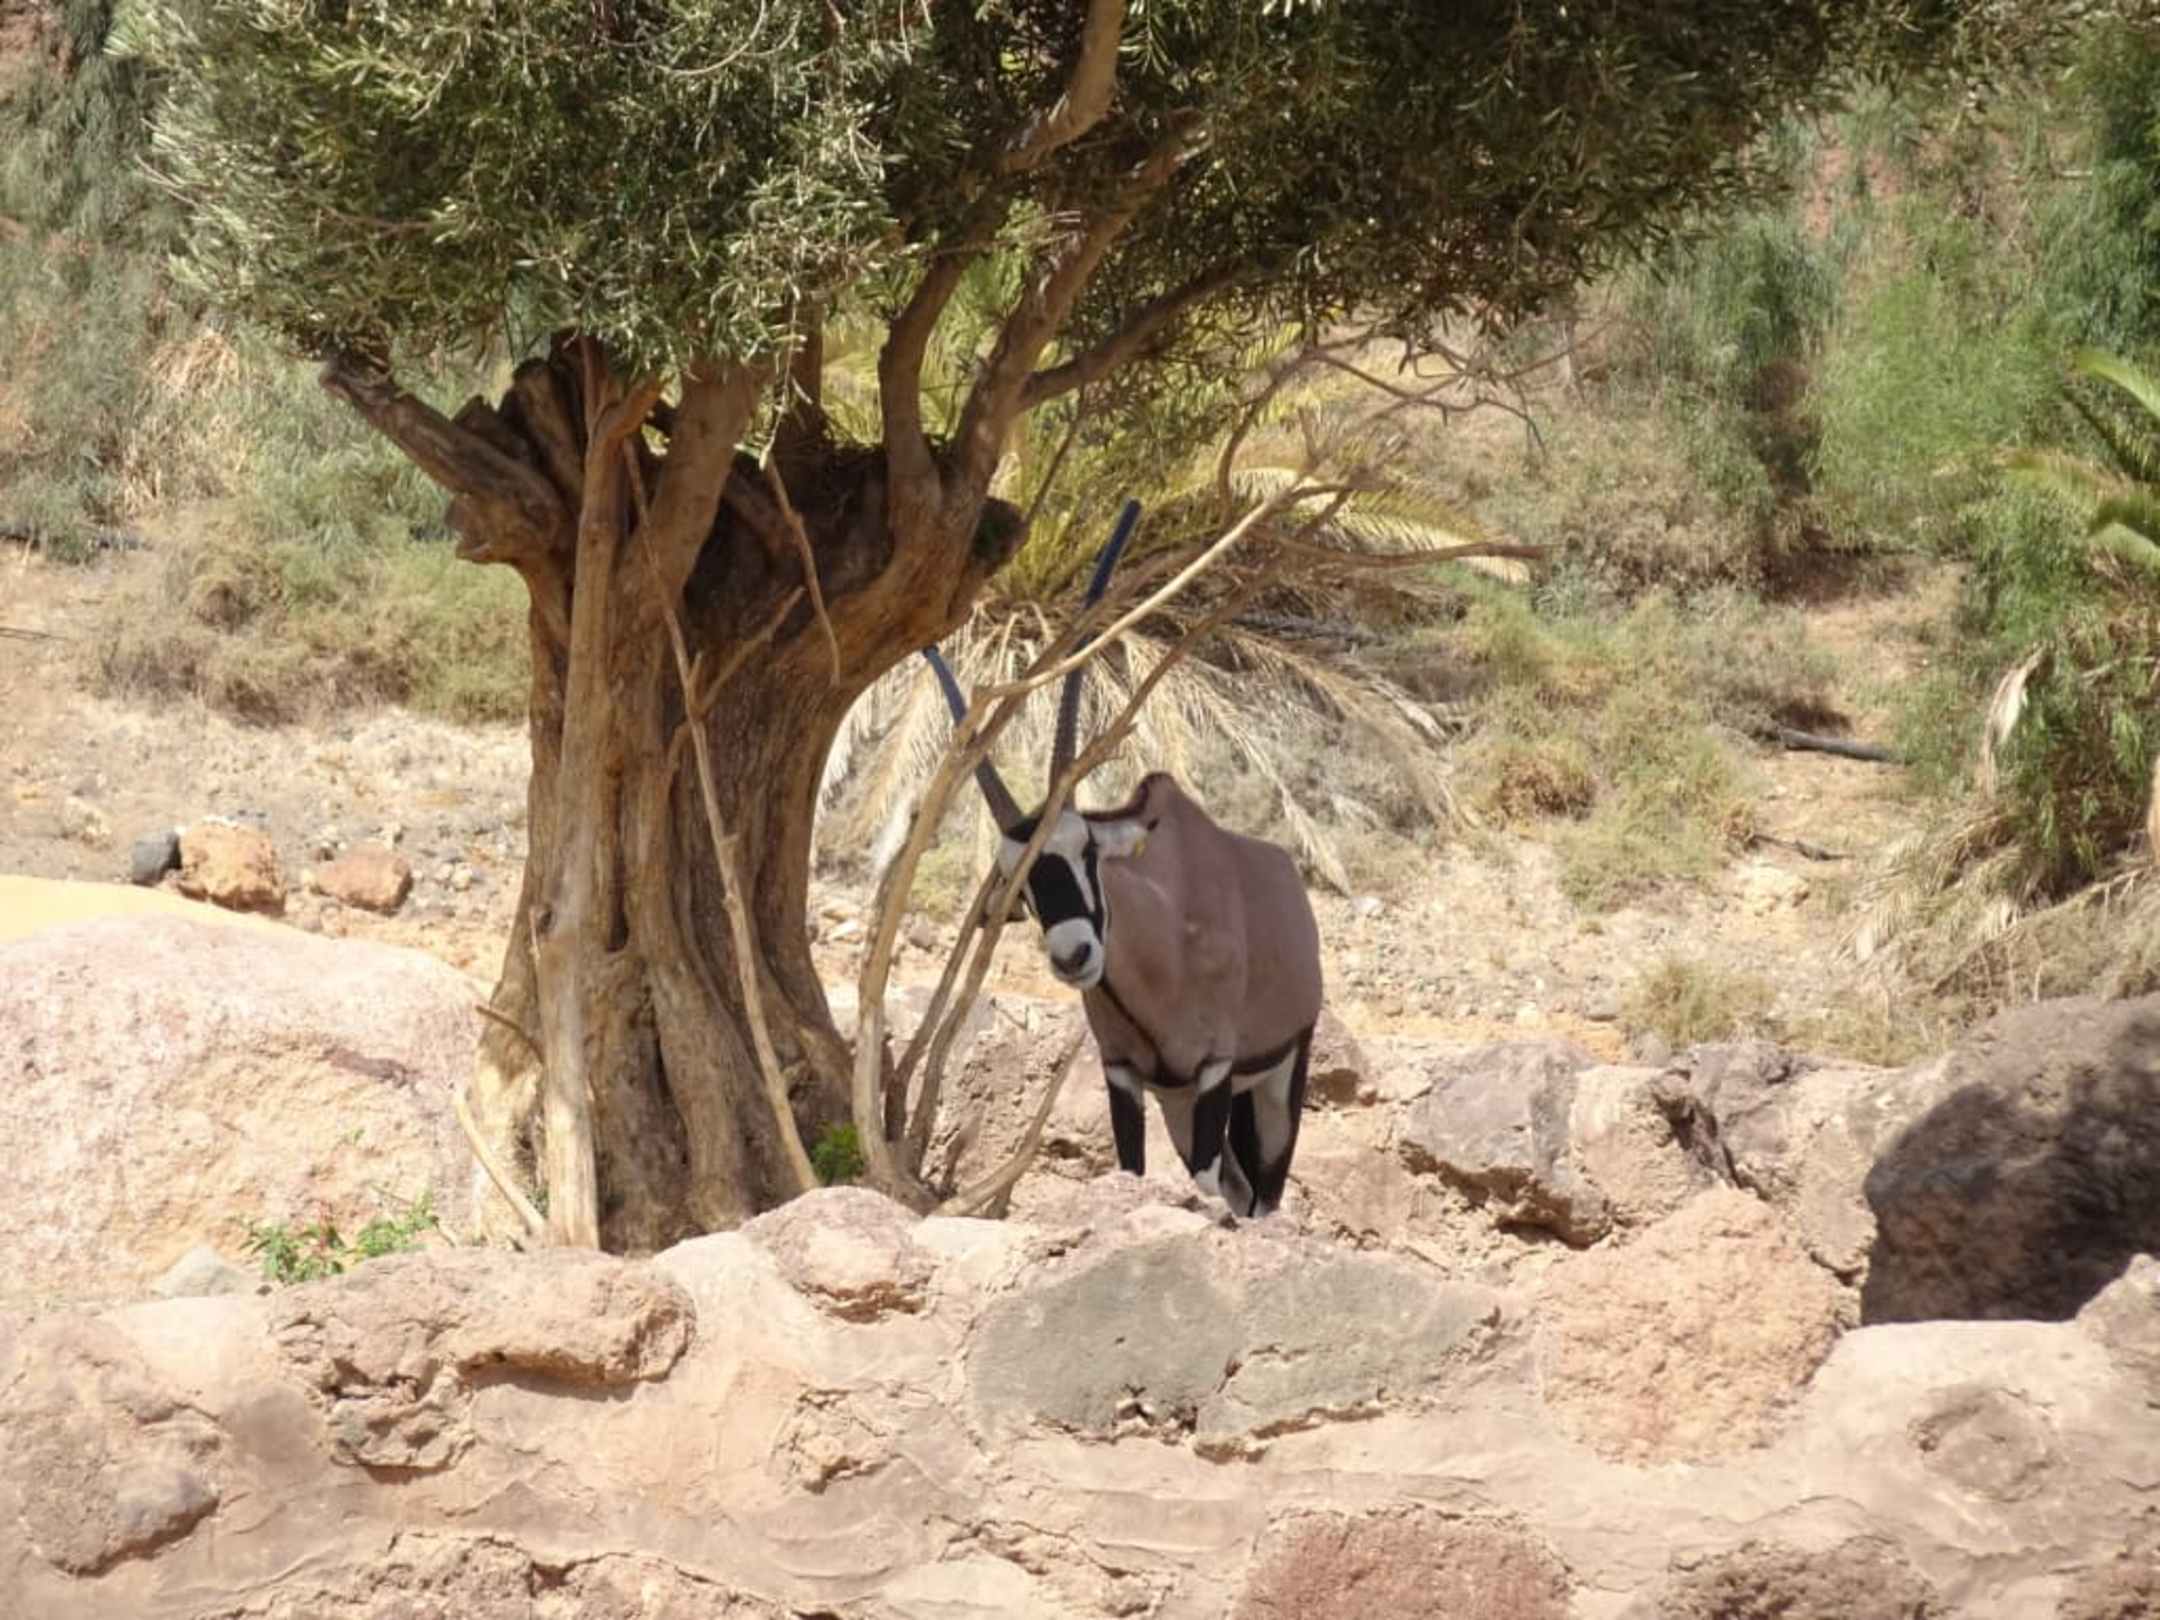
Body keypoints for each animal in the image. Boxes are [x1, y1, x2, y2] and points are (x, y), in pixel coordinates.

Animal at [921, 503, 1324, 1217]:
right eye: (1019, 885)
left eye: (1084, 850)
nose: (1074, 955)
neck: (1166, 945)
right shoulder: (1128, 1074)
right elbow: (1134, 1174)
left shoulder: (1216, 1067)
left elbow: (1204, 1186)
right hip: (1181, 1102)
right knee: (1239, 1185)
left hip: (1277, 1077)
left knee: (1262, 1192)